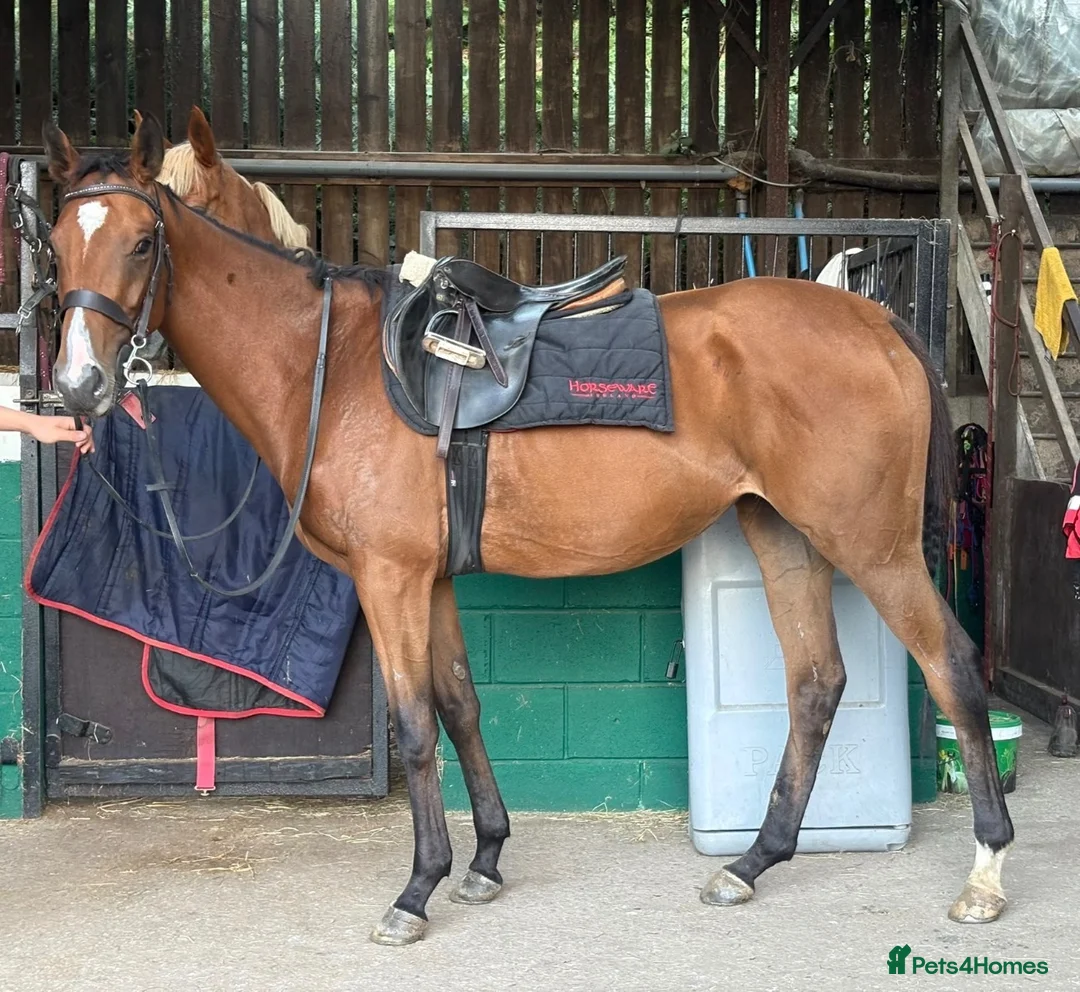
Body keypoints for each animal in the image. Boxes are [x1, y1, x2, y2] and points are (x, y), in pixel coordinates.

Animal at [39, 112, 1014, 945]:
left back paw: (985, 872)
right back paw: (750, 863)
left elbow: (416, 722)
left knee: (953, 668)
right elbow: (462, 705)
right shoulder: (429, 579)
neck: (336, 368)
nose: (81, 386)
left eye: (143, 240)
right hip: (784, 535)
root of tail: (872, 319)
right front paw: (485, 860)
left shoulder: (389, 578)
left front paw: (416, 890)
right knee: (815, 685)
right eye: (56, 244)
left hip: (874, 549)